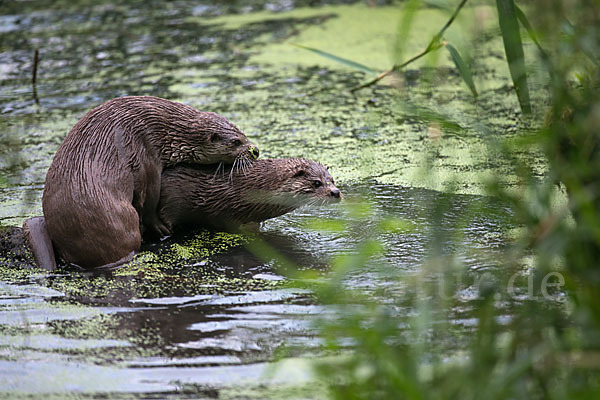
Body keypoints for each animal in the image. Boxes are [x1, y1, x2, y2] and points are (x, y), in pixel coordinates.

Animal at [41, 95, 258, 268]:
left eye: (243, 134)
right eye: (236, 142)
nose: (255, 150)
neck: (161, 132)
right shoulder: (147, 157)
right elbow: (150, 200)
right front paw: (161, 228)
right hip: (118, 219)